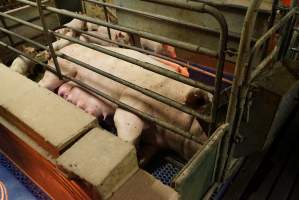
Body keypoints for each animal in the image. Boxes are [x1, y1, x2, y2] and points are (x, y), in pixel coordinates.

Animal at [39, 43, 211, 159]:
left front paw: (141, 158)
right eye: (204, 127)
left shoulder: (156, 142)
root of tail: (64, 48)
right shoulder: (133, 101)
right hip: (61, 70)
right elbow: (126, 125)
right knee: (43, 84)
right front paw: (128, 149)